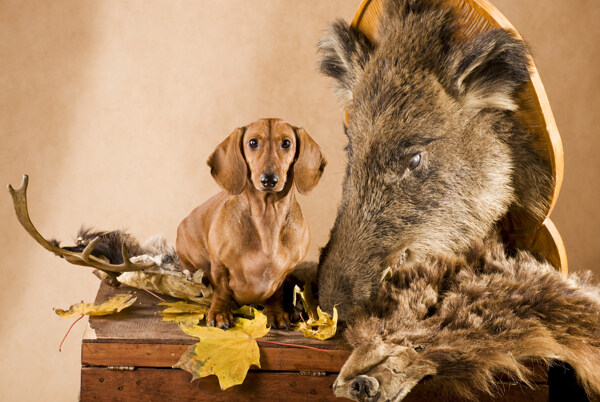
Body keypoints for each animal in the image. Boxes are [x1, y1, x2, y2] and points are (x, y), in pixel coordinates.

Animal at [177, 118, 328, 330]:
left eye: (286, 143)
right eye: (253, 142)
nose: (269, 180)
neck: (267, 218)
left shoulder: (284, 273)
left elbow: (276, 293)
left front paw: (276, 313)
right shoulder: (219, 266)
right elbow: (222, 290)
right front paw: (220, 313)